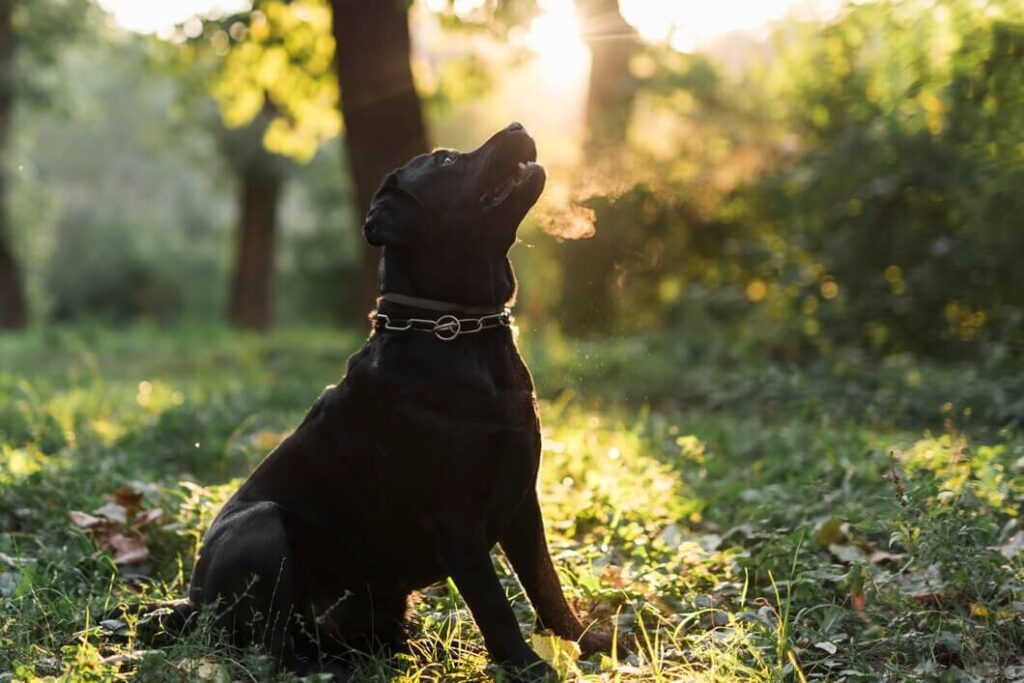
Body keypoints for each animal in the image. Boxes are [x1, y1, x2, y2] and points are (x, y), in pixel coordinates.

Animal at [153, 121, 614, 679]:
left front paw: (586, 642)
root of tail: (193, 606)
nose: (518, 126)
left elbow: (545, 583)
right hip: (260, 527)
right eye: (444, 160)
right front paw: (528, 667)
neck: (456, 329)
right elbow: (494, 604)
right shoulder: (456, 521)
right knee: (274, 648)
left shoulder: (523, 499)